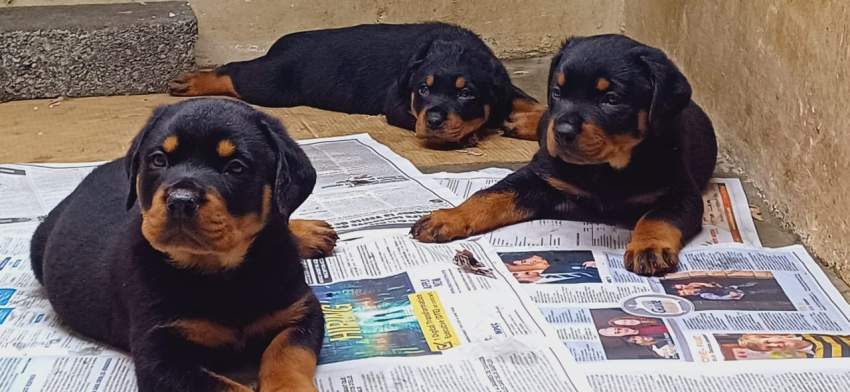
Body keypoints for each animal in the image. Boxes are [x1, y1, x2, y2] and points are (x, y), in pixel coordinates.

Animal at [29, 99, 336, 392]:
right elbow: (226, 387)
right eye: (158, 160)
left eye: (236, 167)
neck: (223, 274)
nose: (181, 200)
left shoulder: (300, 309)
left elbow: (288, 353)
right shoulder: (160, 354)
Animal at [167, 23, 544, 149]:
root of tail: (283, 46)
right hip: (271, 85)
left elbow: (525, 100)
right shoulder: (398, 104)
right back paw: (189, 80)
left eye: (467, 93)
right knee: (235, 73)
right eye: (423, 90)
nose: (435, 122)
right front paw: (472, 134)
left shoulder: (504, 88)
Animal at [410, 35, 716, 278]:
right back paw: (520, 121)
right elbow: (489, 196)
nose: (562, 131)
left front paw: (650, 247)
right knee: (542, 115)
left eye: (611, 99)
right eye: (557, 92)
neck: (604, 169)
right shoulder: (539, 176)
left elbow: (658, 217)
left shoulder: (681, 193)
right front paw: (448, 217)